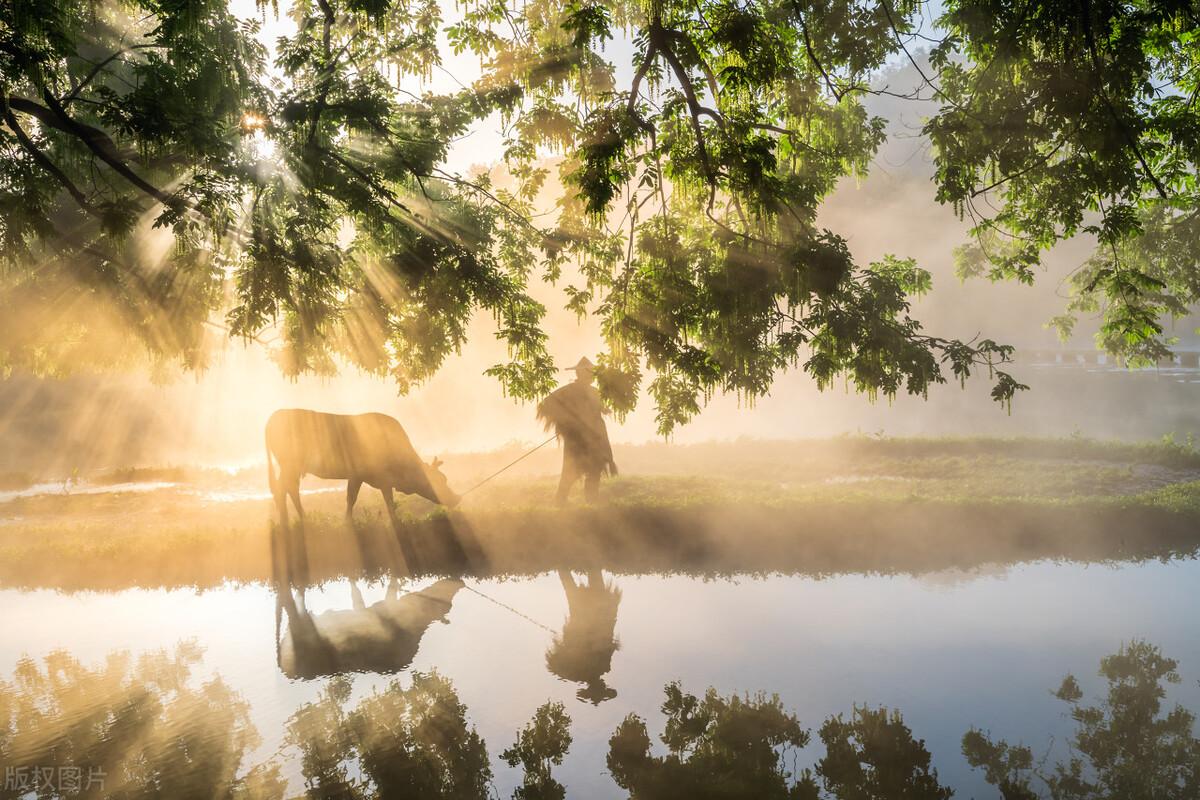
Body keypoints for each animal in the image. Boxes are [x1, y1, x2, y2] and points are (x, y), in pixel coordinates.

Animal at [266, 410, 458, 527]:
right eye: (437, 480)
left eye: (445, 479)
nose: (457, 498)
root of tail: (274, 416)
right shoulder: (375, 477)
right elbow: (384, 500)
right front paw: (396, 522)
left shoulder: (358, 476)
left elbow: (351, 498)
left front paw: (347, 522)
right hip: (289, 464)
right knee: (282, 489)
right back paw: (287, 521)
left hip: (292, 468)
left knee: (289, 488)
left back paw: (301, 519)